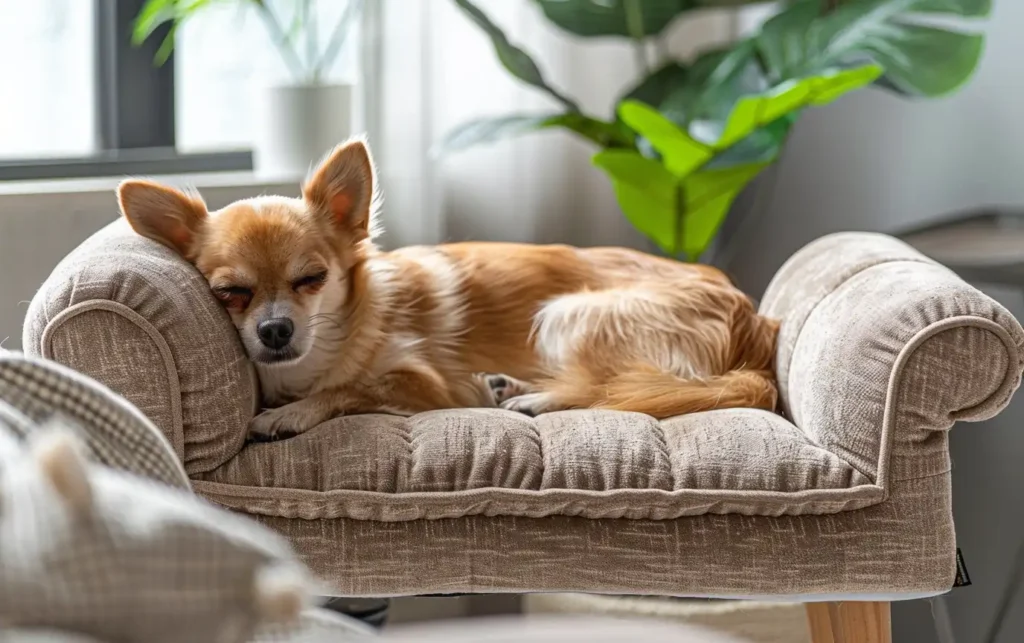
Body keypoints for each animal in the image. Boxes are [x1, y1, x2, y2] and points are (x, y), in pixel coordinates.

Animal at [117, 139, 774, 442]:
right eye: (230, 292)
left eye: (312, 279)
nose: (275, 330)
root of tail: (756, 325)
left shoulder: (426, 384)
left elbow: (351, 388)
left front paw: (292, 412)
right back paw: (515, 387)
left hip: (573, 311)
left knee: (618, 389)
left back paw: (535, 400)